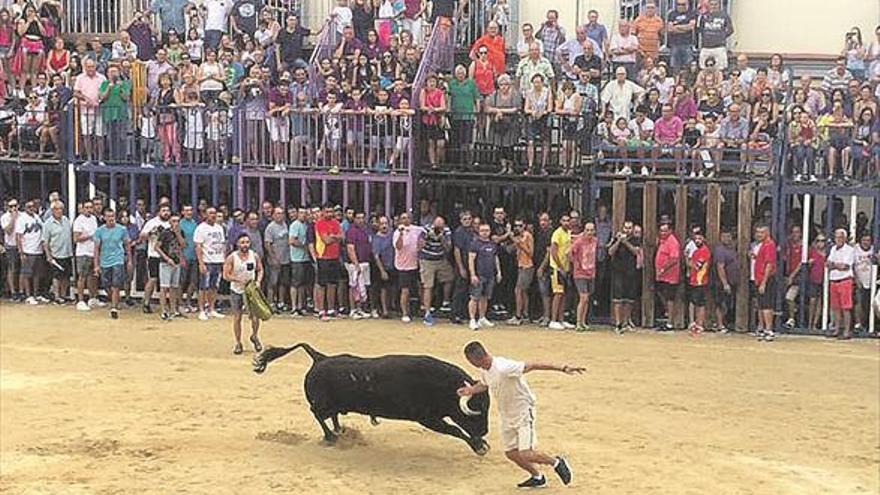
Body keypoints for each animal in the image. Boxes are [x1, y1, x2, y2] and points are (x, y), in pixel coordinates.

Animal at [251, 342, 492, 456]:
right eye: (478, 409)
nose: (484, 431)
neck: (442, 385)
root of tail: (319, 358)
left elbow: (456, 428)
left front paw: (481, 443)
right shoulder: (427, 419)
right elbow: (455, 429)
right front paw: (479, 446)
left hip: (334, 404)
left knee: (331, 415)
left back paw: (340, 431)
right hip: (322, 403)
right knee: (317, 413)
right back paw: (331, 437)